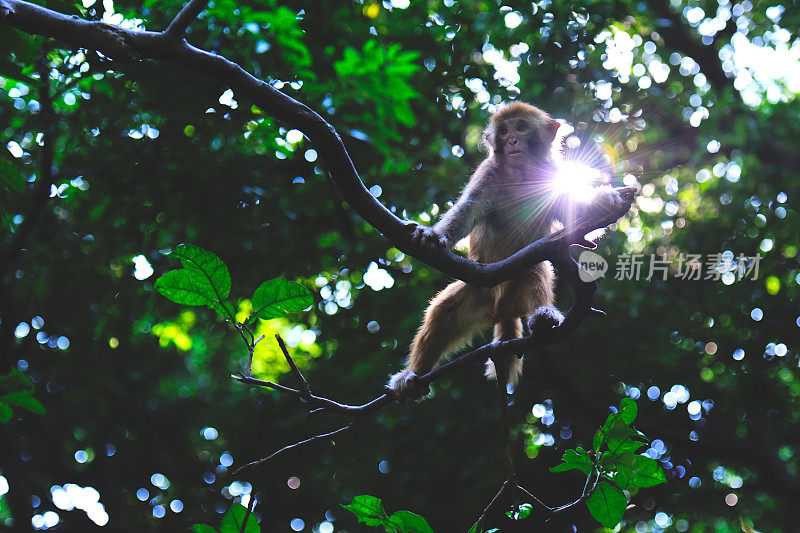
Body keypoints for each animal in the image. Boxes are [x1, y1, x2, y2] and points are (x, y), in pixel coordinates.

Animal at [390, 102, 632, 396]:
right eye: (504, 131)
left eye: (522, 127)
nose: (513, 140)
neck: (521, 172)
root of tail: (501, 309)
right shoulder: (489, 172)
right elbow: (468, 210)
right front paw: (434, 235)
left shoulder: (552, 176)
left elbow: (573, 213)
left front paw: (604, 202)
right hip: (477, 293)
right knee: (443, 312)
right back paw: (412, 374)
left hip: (516, 289)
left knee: (536, 271)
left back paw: (543, 316)